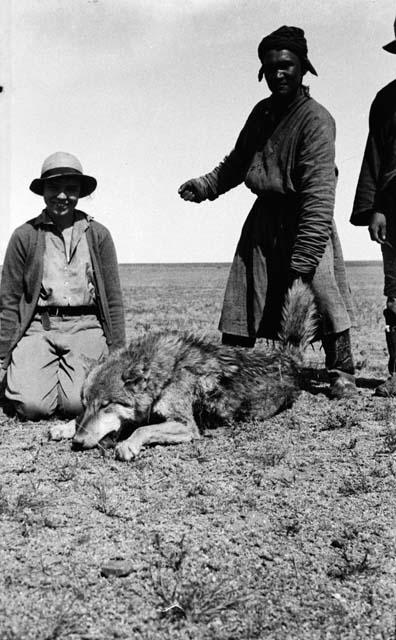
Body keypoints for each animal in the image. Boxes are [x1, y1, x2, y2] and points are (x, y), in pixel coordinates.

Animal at [50, 280, 316, 460]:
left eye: (106, 405)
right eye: (86, 404)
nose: (77, 442)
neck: (167, 374)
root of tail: (287, 357)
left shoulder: (186, 425)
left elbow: (144, 429)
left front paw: (127, 445)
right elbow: (83, 419)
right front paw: (65, 427)